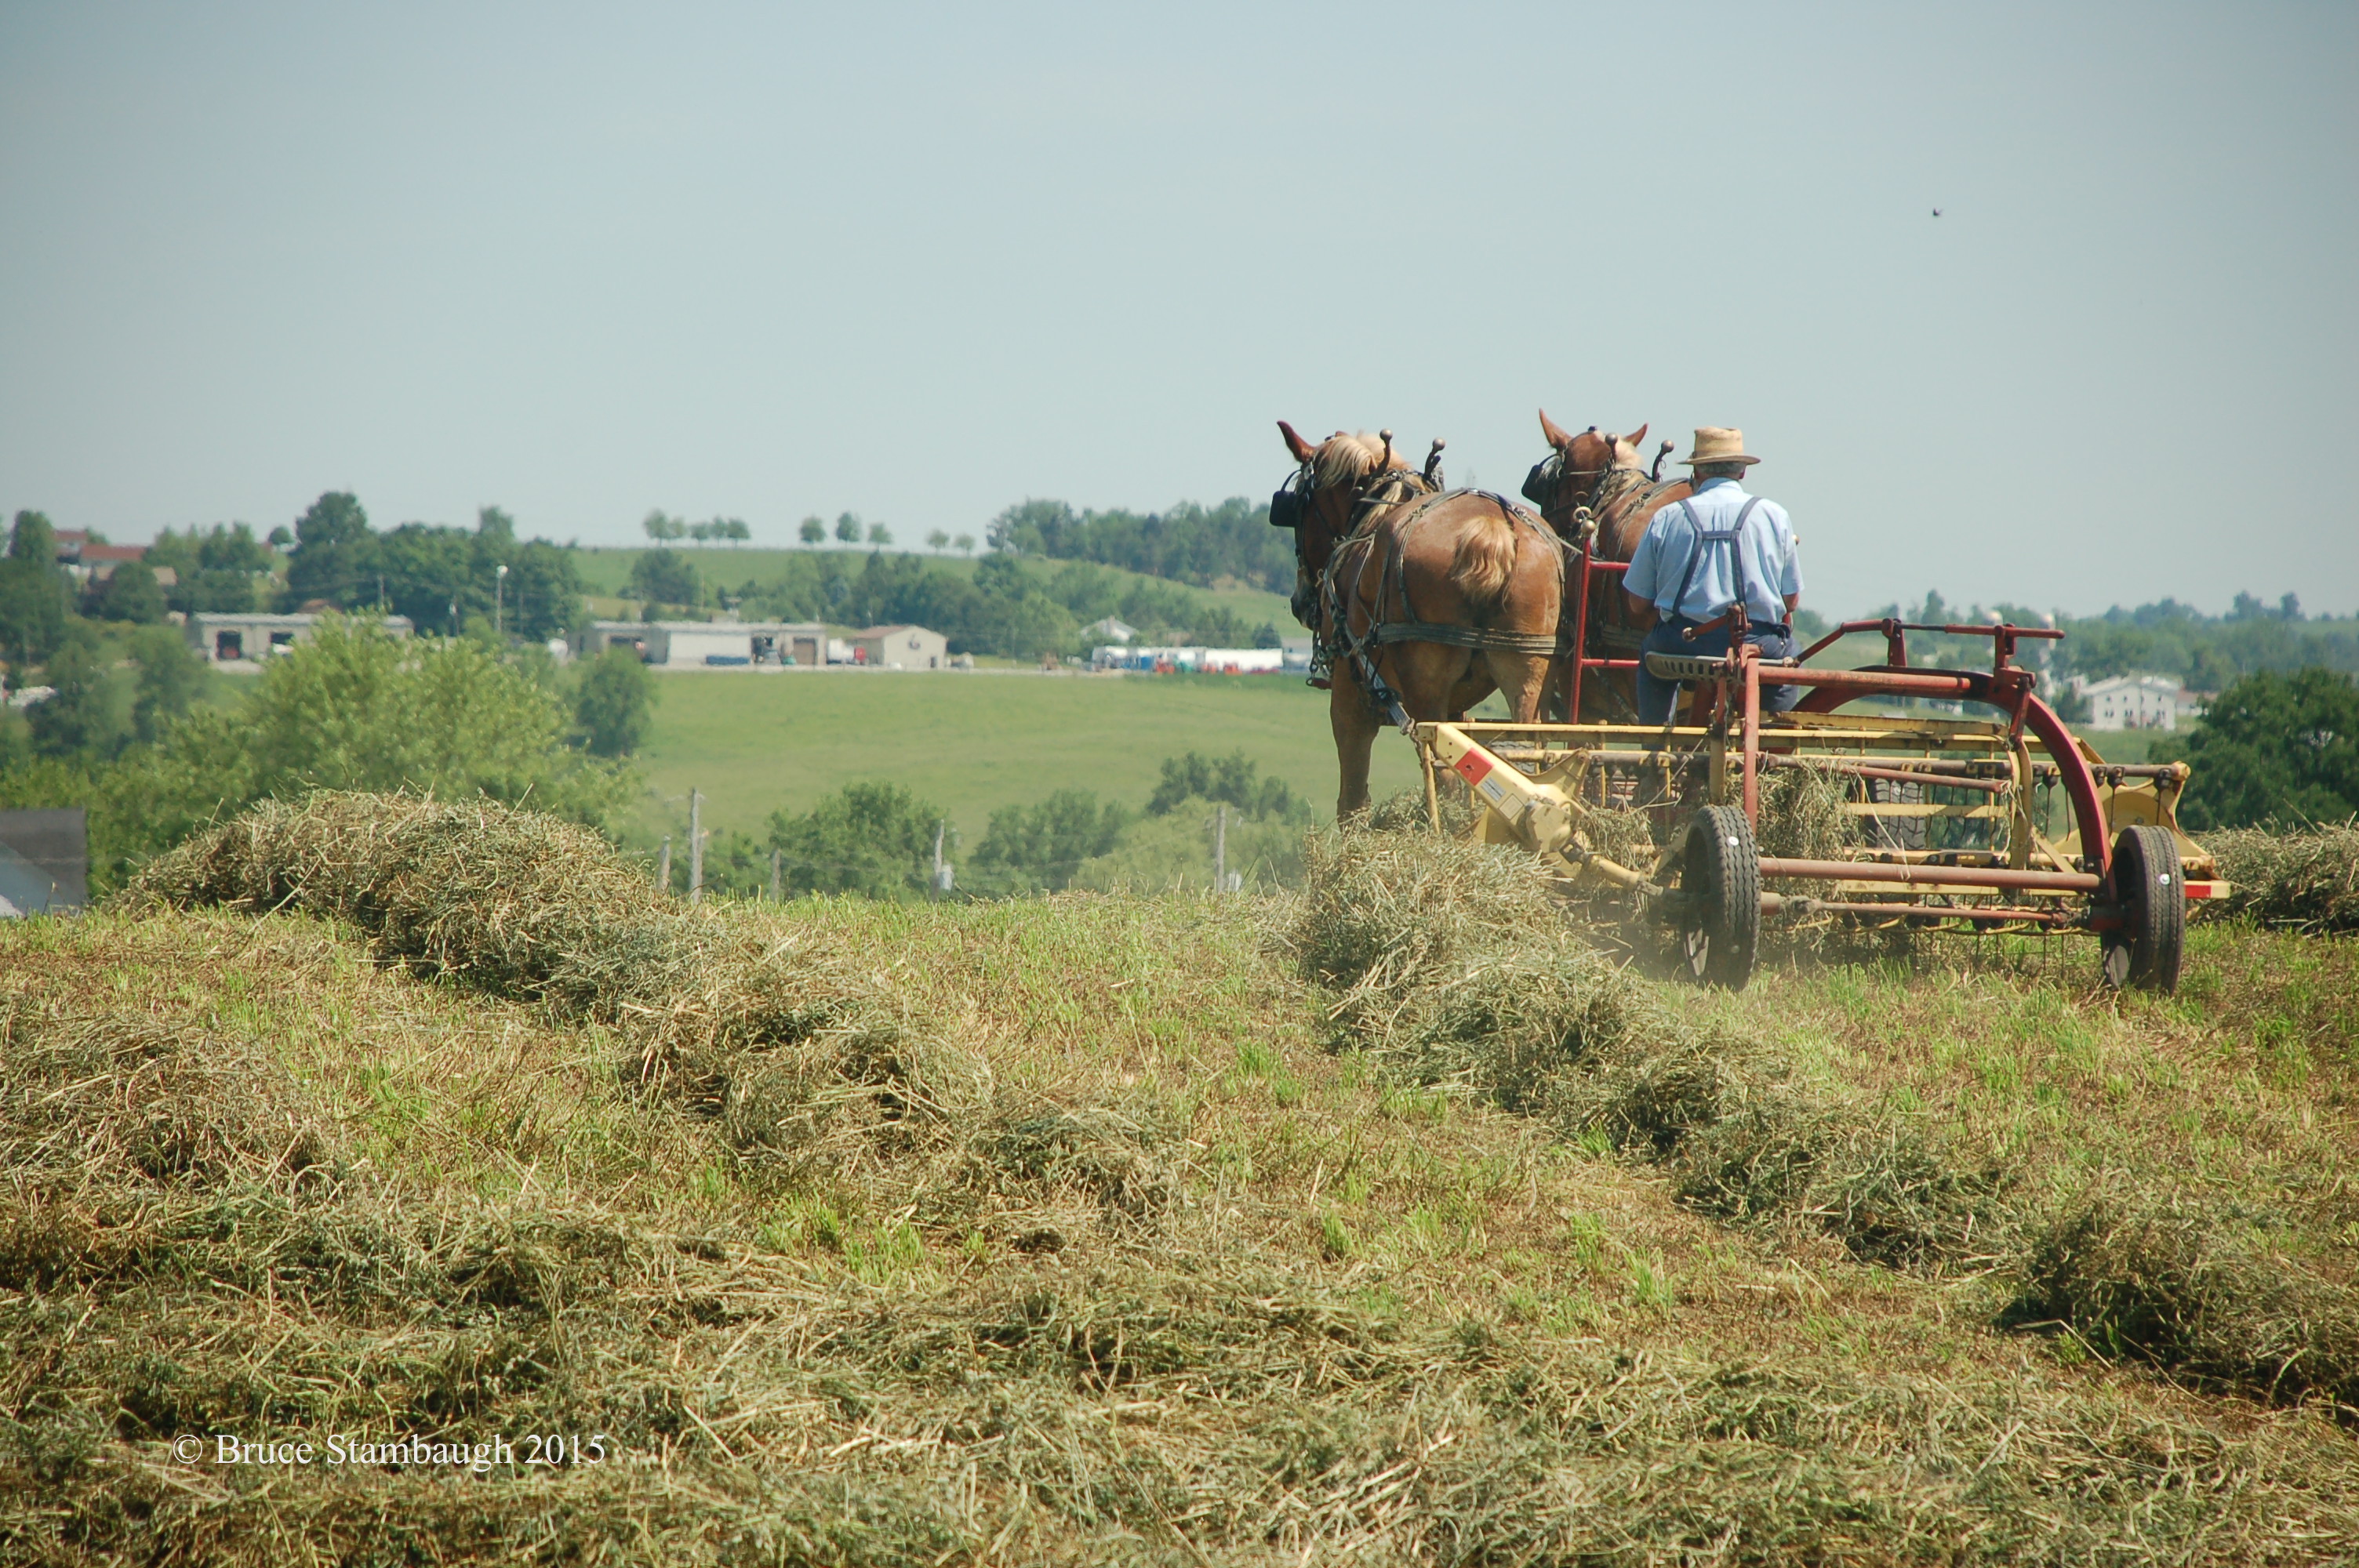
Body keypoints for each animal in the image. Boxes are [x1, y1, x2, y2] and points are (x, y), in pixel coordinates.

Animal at [1275, 421, 1566, 818]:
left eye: (1297, 508)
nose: (1299, 600)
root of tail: (1489, 529)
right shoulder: (1459, 706)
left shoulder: (1350, 697)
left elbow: (1352, 798)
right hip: (1527, 670)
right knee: (1527, 754)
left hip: (1426, 686)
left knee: (1442, 771)